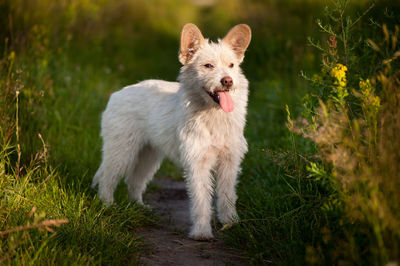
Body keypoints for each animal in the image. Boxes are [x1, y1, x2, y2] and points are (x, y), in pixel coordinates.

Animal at [92, 22, 252, 239]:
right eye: (208, 66)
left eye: (231, 66)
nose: (227, 81)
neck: (213, 115)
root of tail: (117, 93)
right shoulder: (197, 164)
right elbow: (201, 200)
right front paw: (201, 232)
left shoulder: (230, 162)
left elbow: (228, 197)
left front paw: (230, 222)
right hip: (121, 153)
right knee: (107, 180)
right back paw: (108, 207)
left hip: (148, 156)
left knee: (134, 181)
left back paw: (139, 207)